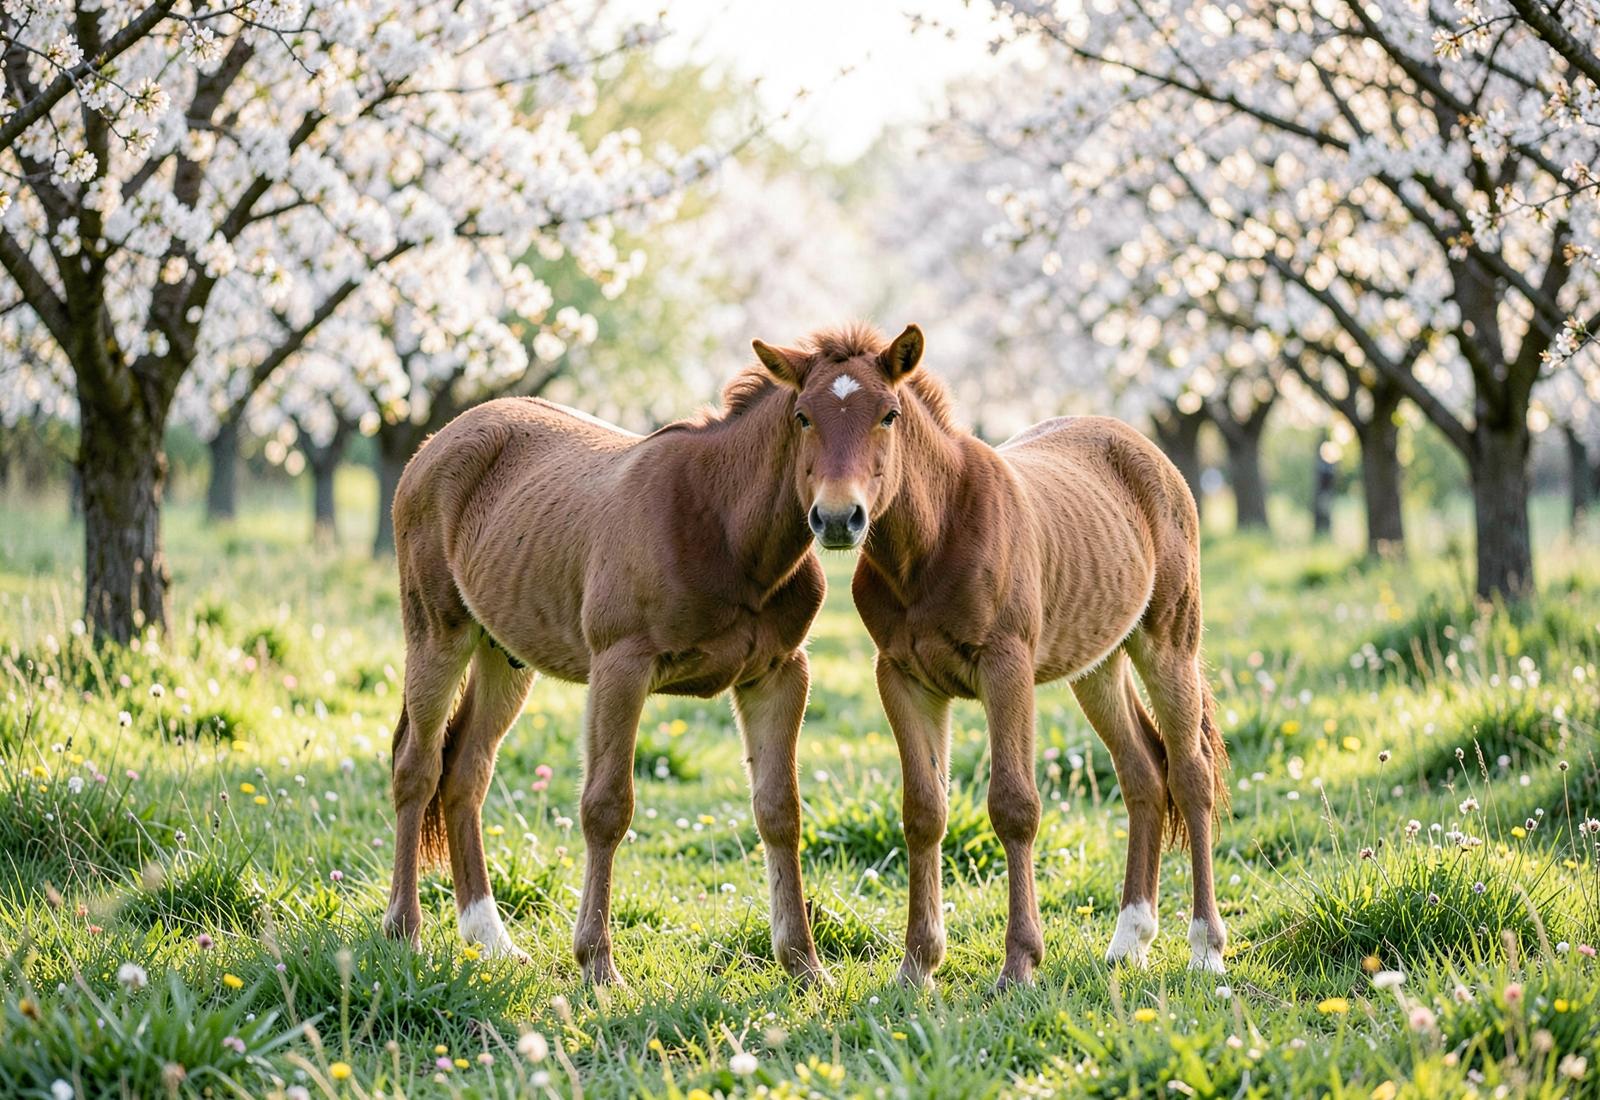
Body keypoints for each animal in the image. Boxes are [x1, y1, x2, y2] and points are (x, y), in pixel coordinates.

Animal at [381, 376, 833, 985]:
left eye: (890, 415)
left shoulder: (780, 674)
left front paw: (805, 967)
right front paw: (598, 966)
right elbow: (606, 809)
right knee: (418, 767)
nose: (841, 517)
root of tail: (433, 444)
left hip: (503, 657)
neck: (723, 523)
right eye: (805, 417)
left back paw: (490, 938)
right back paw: (404, 931)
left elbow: (780, 811)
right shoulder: (620, 669)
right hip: (438, 635)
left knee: (465, 773)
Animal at [750, 323, 1230, 988]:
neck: (934, 541)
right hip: (1096, 664)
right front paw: (916, 968)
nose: (839, 518)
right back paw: (1129, 940)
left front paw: (1019, 965)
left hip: (1168, 642)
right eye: (801, 417)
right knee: (1142, 772)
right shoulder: (903, 677)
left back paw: (1205, 949)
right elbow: (924, 811)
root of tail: (1140, 445)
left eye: (889, 414)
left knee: (1189, 774)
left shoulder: (1008, 671)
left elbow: (1014, 807)